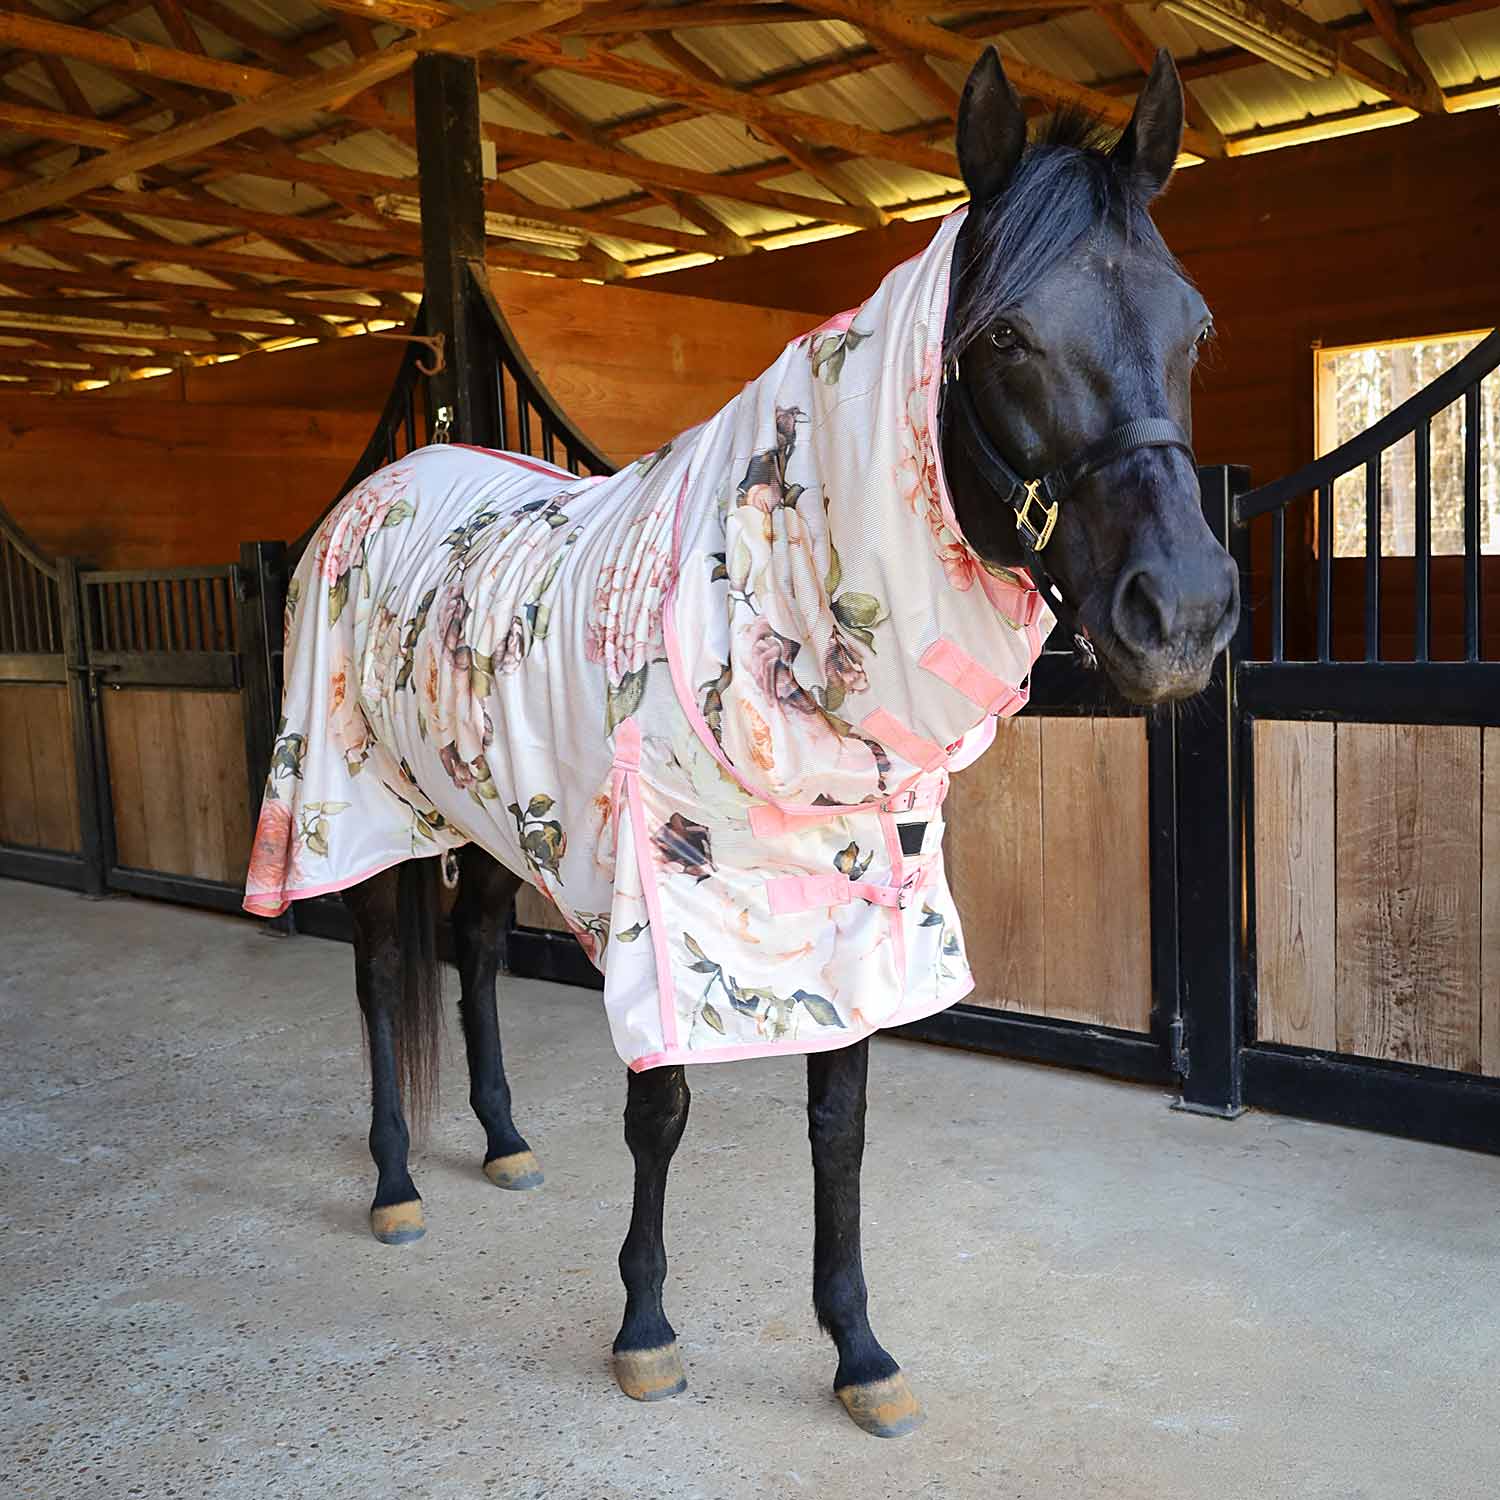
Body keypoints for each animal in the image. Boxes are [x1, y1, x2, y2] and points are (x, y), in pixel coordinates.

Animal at [245, 46, 1237, 1438]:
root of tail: (382, 489)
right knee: (384, 979)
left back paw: (502, 1143)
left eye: (1192, 328)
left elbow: (841, 1127)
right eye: (1005, 337)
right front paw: (645, 1328)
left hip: (490, 813)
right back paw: (397, 1186)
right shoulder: (662, 909)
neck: (766, 609)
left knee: (477, 952)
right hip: (356, 809)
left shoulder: (854, 903)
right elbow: (660, 1109)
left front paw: (860, 1353)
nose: (1185, 614)